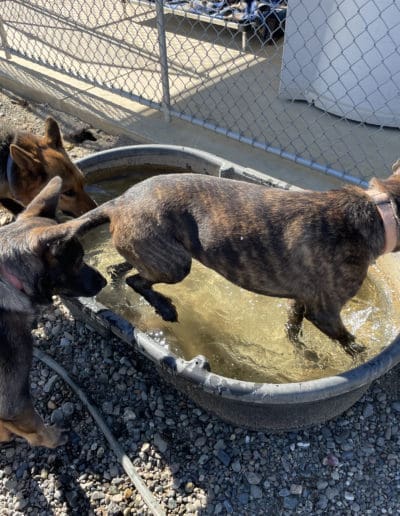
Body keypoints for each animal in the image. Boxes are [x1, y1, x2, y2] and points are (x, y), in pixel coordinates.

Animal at [0, 177, 106, 448]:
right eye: (78, 260)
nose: (103, 281)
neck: (9, 278)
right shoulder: (13, 400)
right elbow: (36, 428)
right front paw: (52, 438)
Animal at [56, 169, 400, 358]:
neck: (379, 211)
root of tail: (119, 202)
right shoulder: (325, 311)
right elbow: (348, 341)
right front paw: (358, 355)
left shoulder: (302, 300)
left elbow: (293, 331)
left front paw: (306, 356)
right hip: (175, 263)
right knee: (136, 280)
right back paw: (164, 307)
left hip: (150, 251)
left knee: (122, 271)